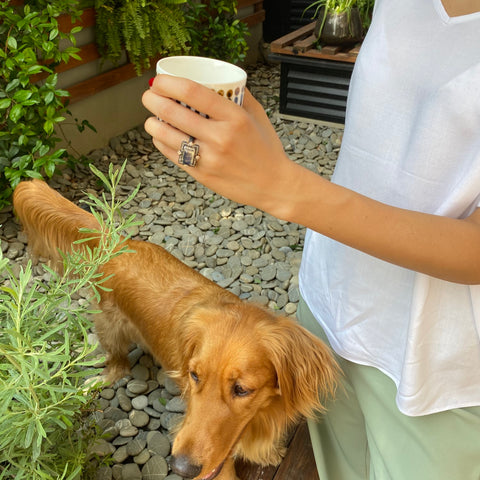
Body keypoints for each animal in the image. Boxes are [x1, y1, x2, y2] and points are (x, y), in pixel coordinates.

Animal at [12, 179, 338, 480]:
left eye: (242, 389)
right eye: (194, 375)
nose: (181, 468)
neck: (261, 415)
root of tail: (120, 242)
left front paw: (269, 453)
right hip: (109, 327)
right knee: (118, 365)